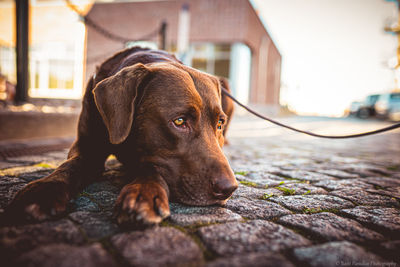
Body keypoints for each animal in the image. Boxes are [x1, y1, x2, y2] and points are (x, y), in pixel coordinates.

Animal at [6, 47, 238, 226]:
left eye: (219, 123)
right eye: (180, 121)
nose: (229, 188)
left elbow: (150, 165)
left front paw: (143, 194)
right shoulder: (87, 145)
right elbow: (70, 165)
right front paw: (44, 190)